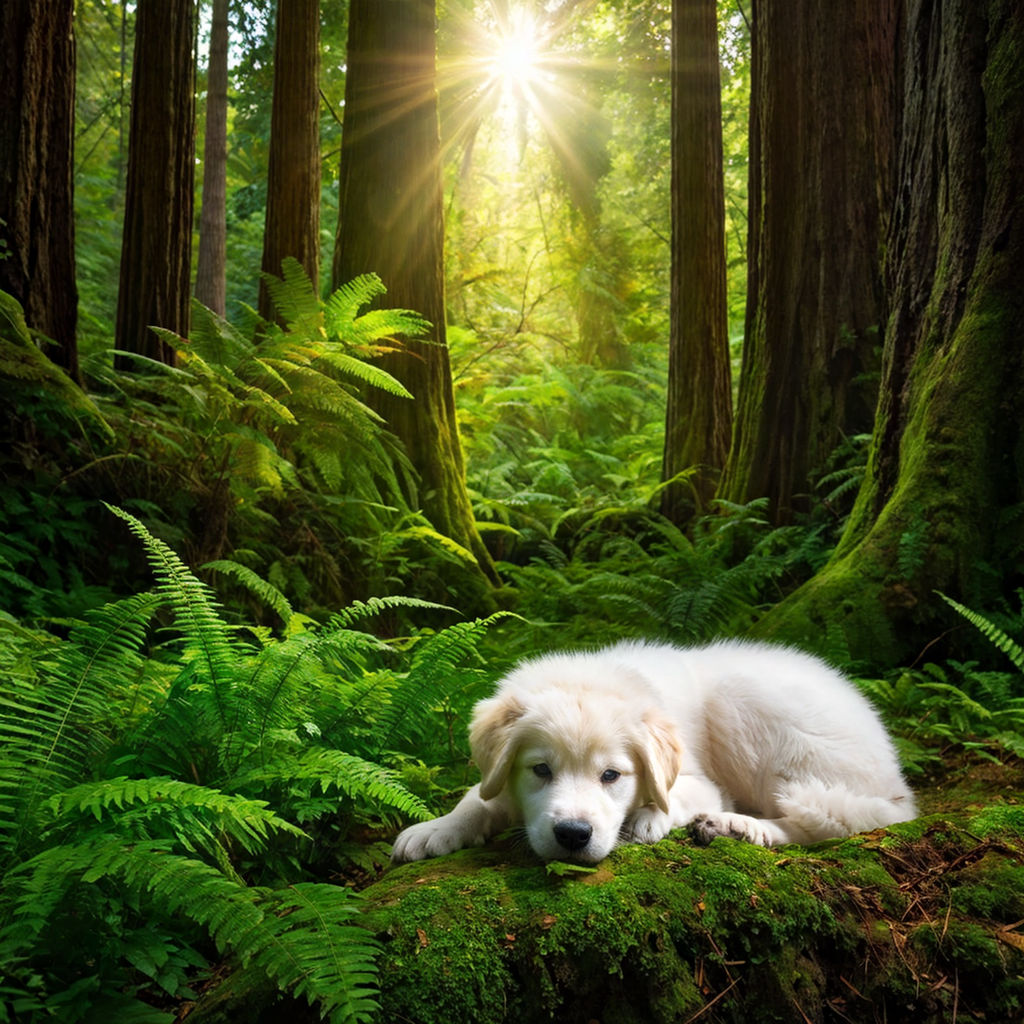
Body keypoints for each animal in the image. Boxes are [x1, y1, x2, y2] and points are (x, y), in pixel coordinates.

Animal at [389, 638, 913, 864]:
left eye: (611, 776)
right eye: (540, 770)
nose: (573, 836)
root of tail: (898, 785)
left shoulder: (703, 782)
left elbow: (674, 795)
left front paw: (648, 817)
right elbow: (478, 797)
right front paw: (436, 829)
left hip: (750, 705)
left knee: (825, 823)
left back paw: (740, 826)